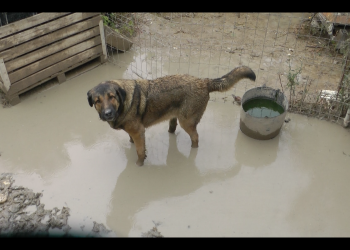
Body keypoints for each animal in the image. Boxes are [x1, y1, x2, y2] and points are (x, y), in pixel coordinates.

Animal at [88, 66, 254, 166]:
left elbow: (140, 152)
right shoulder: (133, 132)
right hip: (174, 119)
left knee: (195, 138)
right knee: (173, 130)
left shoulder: (139, 132)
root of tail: (203, 81)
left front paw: (138, 166)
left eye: (112, 97)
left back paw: (193, 151)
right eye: (97, 101)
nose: (107, 114)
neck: (122, 103)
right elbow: (132, 142)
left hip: (186, 122)